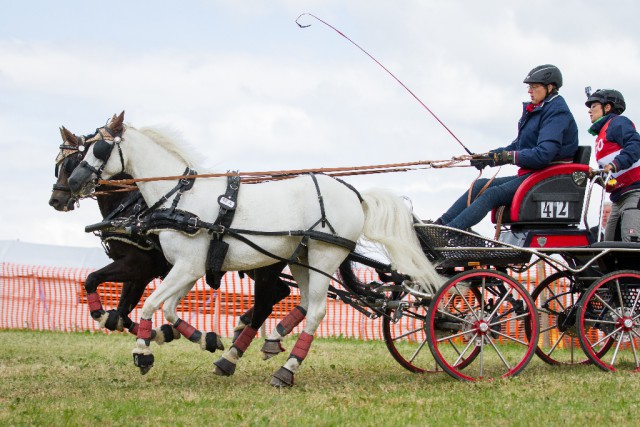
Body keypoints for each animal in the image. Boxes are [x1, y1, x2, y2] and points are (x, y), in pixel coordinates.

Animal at [69, 113, 440, 388]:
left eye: (98, 148)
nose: (71, 184)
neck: (180, 199)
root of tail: (355, 195)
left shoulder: (185, 266)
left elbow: (150, 304)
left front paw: (143, 352)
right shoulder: (186, 268)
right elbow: (169, 308)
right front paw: (202, 339)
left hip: (323, 256)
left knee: (315, 311)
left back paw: (286, 369)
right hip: (301, 258)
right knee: (301, 303)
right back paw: (257, 347)